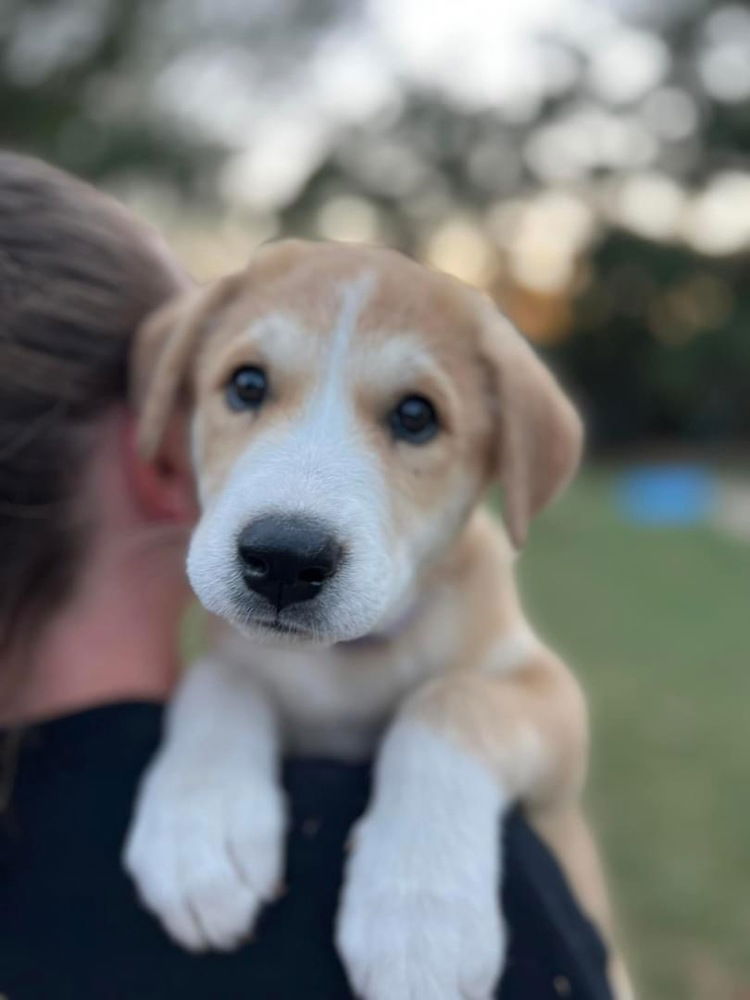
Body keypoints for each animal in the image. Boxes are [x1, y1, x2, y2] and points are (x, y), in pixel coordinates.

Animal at [126, 240, 632, 1000]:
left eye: (416, 416)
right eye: (247, 384)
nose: (283, 558)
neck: (350, 662)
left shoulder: (551, 702)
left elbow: (450, 699)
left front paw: (421, 915)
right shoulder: (234, 657)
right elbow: (220, 679)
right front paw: (201, 826)